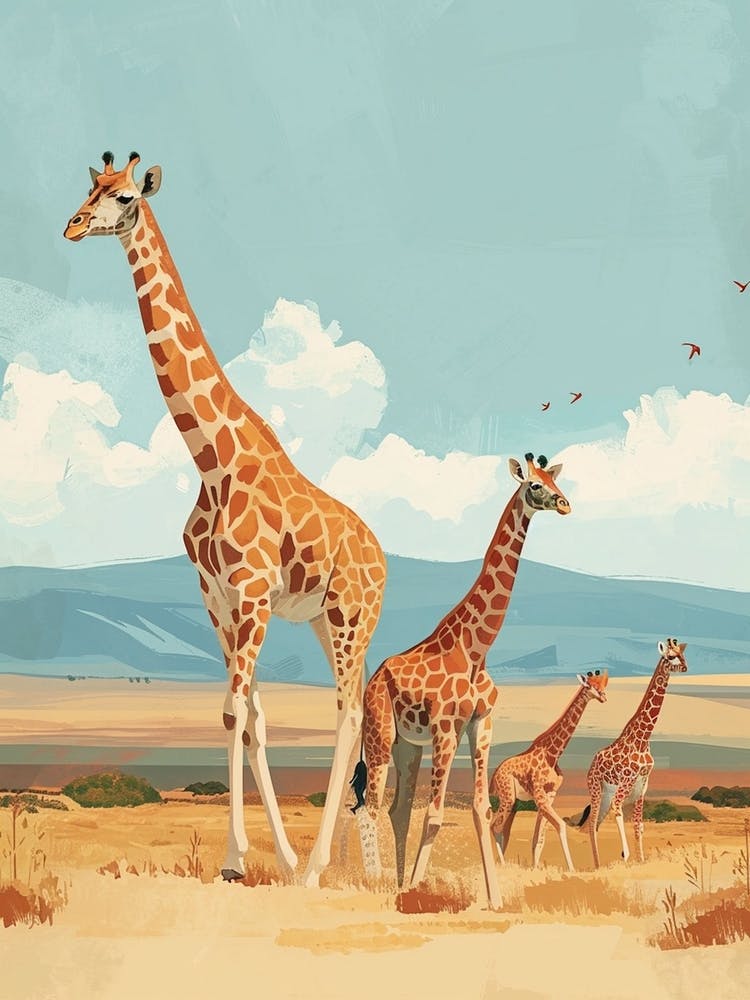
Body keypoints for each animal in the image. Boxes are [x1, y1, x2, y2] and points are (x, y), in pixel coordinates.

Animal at [64, 151, 387, 887]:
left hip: (351, 617)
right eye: (89, 189)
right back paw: (332, 865)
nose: (72, 226)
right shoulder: (216, 597)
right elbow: (253, 718)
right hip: (325, 621)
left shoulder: (253, 592)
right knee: (351, 713)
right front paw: (266, 856)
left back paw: (321, 869)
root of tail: (383, 559)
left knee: (348, 712)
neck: (211, 459)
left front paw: (241, 861)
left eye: (123, 197)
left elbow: (235, 709)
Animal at [356, 452, 571, 909]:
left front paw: (495, 901)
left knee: (397, 809)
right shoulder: (445, 725)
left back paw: (395, 882)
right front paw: (417, 890)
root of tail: (375, 677)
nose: (565, 504)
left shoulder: (480, 723)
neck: (476, 648)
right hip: (380, 734)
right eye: (534, 485)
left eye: (553, 480)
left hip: (407, 748)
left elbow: (479, 810)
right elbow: (436, 813)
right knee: (370, 805)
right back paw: (377, 882)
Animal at [489, 669, 608, 872]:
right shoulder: (539, 794)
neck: (553, 754)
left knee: (504, 828)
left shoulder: (550, 794)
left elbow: (539, 838)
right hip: (507, 797)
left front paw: (535, 868)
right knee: (494, 826)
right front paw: (571, 869)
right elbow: (560, 826)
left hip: (514, 803)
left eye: (601, 684)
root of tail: (494, 775)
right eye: (591, 686)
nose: (604, 697)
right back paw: (501, 865)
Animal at [567, 638, 688, 867]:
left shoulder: (642, 784)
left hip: (606, 794)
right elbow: (620, 812)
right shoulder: (627, 780)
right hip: (596, 789)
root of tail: (590, 766)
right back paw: (598, 866)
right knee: (592, 822)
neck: (642, 739)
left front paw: (641, 859)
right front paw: (626, 855)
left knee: (594, 824)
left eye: (682, 654)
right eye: (670, 656)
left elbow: (638, 825)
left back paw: (598, 864)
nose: (685, 667)